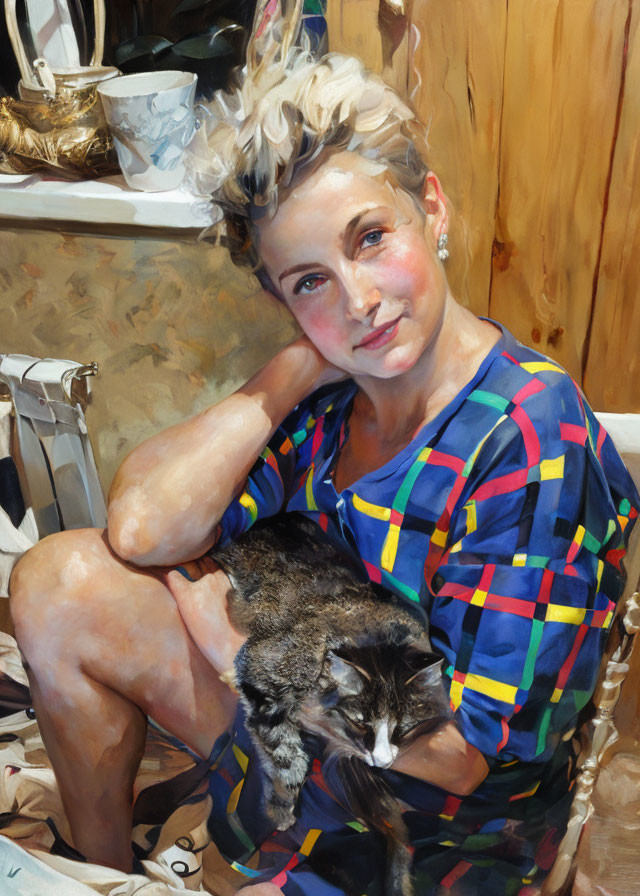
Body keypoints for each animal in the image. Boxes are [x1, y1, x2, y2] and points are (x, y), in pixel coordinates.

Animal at [212, 512, 452, 896]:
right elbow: (287, 754)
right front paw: (282, 808)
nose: (384, 762)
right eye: (361, 722)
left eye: (403, 728)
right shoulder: (261, 667)